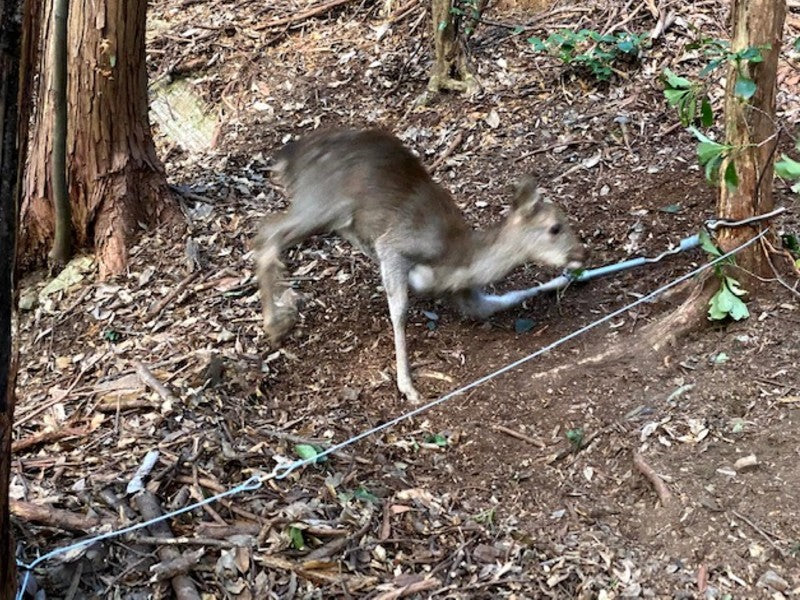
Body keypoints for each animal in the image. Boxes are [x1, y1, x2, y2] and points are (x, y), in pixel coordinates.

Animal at [256, 131, 588, 404]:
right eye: (555, 227)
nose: (581, 254)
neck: (459, 258)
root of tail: (288, 156)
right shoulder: (394, 245)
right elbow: (399, 311)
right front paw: (408, 387)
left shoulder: (462, 292)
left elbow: (499, 302)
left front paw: (564, 281)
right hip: (322, 205)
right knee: (266, 233)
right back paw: (275, 323)